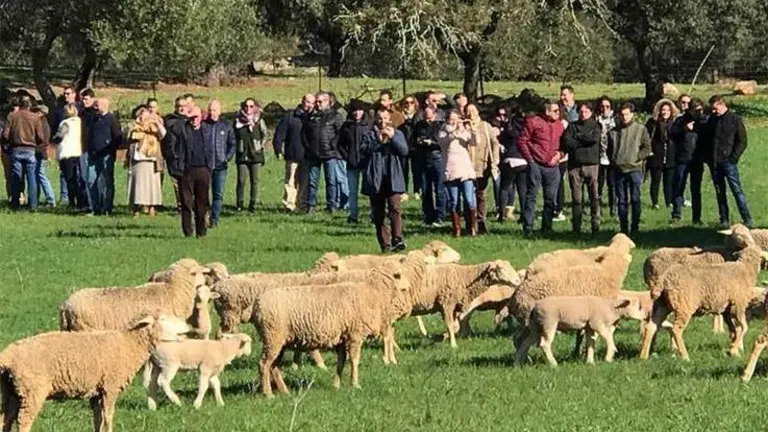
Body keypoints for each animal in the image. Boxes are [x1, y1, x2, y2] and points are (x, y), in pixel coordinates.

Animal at [0, 314, 191, 432]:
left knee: (5, 419)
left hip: (11, 391)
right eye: (164, 318)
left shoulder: (97, 392)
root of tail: (8, 355)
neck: (129, 345)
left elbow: (98, 419)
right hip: (32, 391)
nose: (188, 326)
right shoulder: (110, 387)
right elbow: (108, 417)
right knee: (23, 421)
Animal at [254, 266, 413, 396]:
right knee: (264, 364)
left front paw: (336, 385)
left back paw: (284, 391)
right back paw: (268, 393)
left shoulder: (342, 338)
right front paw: (355, 384)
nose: (409, 286)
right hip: (273, 336)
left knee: (274, 366)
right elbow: (354, 360)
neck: (373, 293)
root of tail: (259, 305)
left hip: (278, 340)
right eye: (399, 275)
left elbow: (341, 362)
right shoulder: (355, 335)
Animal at [514, 295, 646, 367]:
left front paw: (590, 362)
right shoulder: (597, 323)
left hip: (536, 326)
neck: (611, 308)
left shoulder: (589, 327)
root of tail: (534, 307)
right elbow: (608, 337)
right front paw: (609, 357)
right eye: (636, 306)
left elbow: (590, 343)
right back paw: (553, 364)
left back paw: (517, 363)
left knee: (525, 343)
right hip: (549, 322)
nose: (645, 316)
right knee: (545, 344)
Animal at [639, 245, 768, 361]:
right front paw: (733, 349)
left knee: (651, 326)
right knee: (676, 330)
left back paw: (643, 356)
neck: (745, 269)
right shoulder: (738, 305)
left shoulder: (726, 310)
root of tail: (664, 280)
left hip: (662, 305)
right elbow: (743, 328)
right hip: (683, 306)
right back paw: (685, 357)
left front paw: (734, 351)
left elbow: (734, 331)